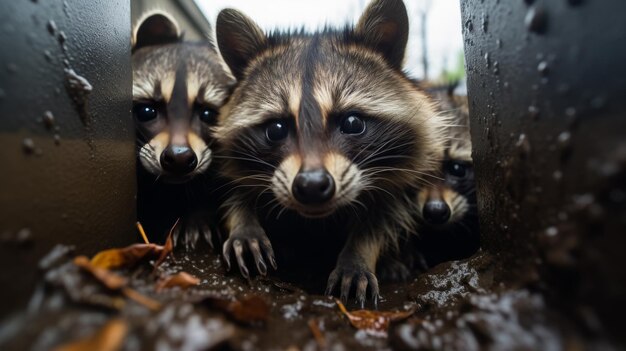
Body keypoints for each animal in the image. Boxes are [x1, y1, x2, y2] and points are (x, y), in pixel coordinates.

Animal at [212, 0, 446, 306]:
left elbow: (383, 218)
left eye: (353, 123)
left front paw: (357, 255)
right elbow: (232, 191)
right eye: (276, 129)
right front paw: (243, 223)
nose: (311, 186)